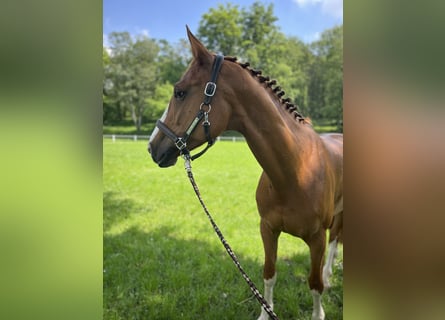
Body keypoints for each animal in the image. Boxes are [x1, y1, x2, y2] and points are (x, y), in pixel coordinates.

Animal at [147, 28, 342, 320]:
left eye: (179, 92)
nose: (152, 146)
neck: (295, 173)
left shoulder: (316, 239)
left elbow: (314, 283)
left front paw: (319, 312)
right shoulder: (267, 229)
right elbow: (269, 273)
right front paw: (265, 313)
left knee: (334, 244)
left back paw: (330, 277)